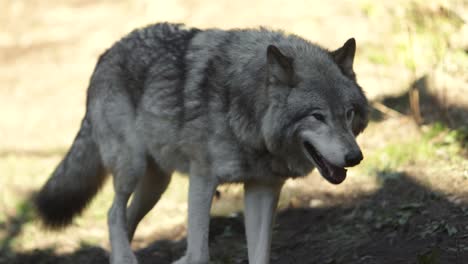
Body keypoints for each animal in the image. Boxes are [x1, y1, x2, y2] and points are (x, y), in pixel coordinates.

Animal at [33, 22, 370, 264]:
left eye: (349, 113)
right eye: (317, 116)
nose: (354, 157)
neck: (246, 109)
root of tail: (105, 54)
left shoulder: (262, 188)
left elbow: (259, 254)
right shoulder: (202, 179)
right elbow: (199, 253)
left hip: (156, 185)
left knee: (122, 220)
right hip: (132, 167)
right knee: (113, 214)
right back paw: (126, 258)